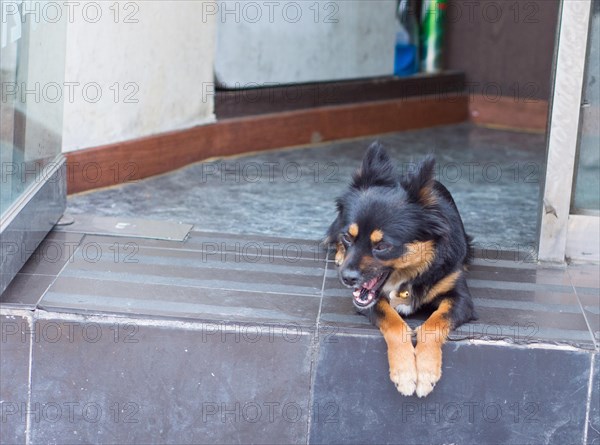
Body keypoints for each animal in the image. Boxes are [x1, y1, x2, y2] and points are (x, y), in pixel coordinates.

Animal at [326, 142, 476, 396]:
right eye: (348, 237)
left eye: (382, 246)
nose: (346, 278)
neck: (408, 273)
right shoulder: (370, 303)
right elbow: (395, 322)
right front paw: (405, 373)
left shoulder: (461, 299)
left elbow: (433, 324)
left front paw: (425, 372)